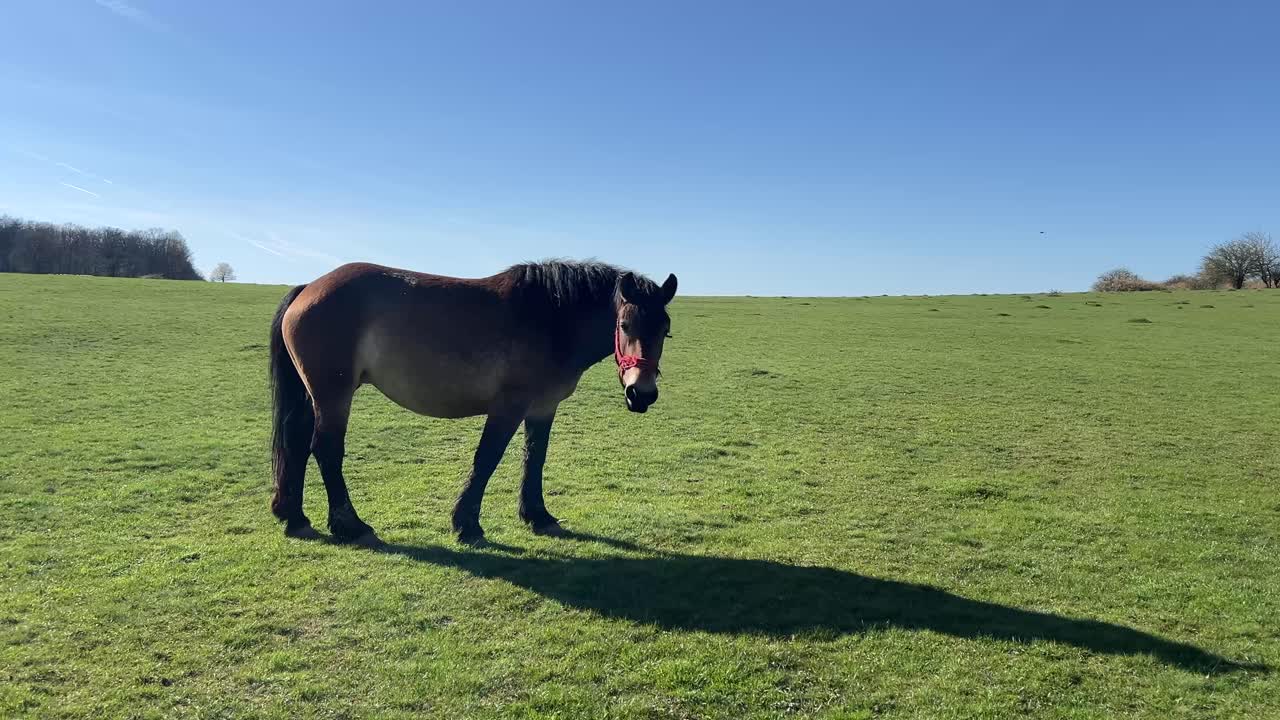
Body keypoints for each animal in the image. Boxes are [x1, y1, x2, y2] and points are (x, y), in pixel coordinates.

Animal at [267, 259, 678, 545]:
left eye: (665, 330)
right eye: (624, 325)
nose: (641, 394)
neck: (550, 318)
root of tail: (308, 288)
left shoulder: (543, 407)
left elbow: (535, 457)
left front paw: (537, 515)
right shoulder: (508, 407)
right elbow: (487, 459)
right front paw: (466, 524)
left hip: (313, 395)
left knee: (297, 443)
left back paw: (295, 518)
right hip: (333, 394)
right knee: (326, 449)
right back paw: (350, 525)